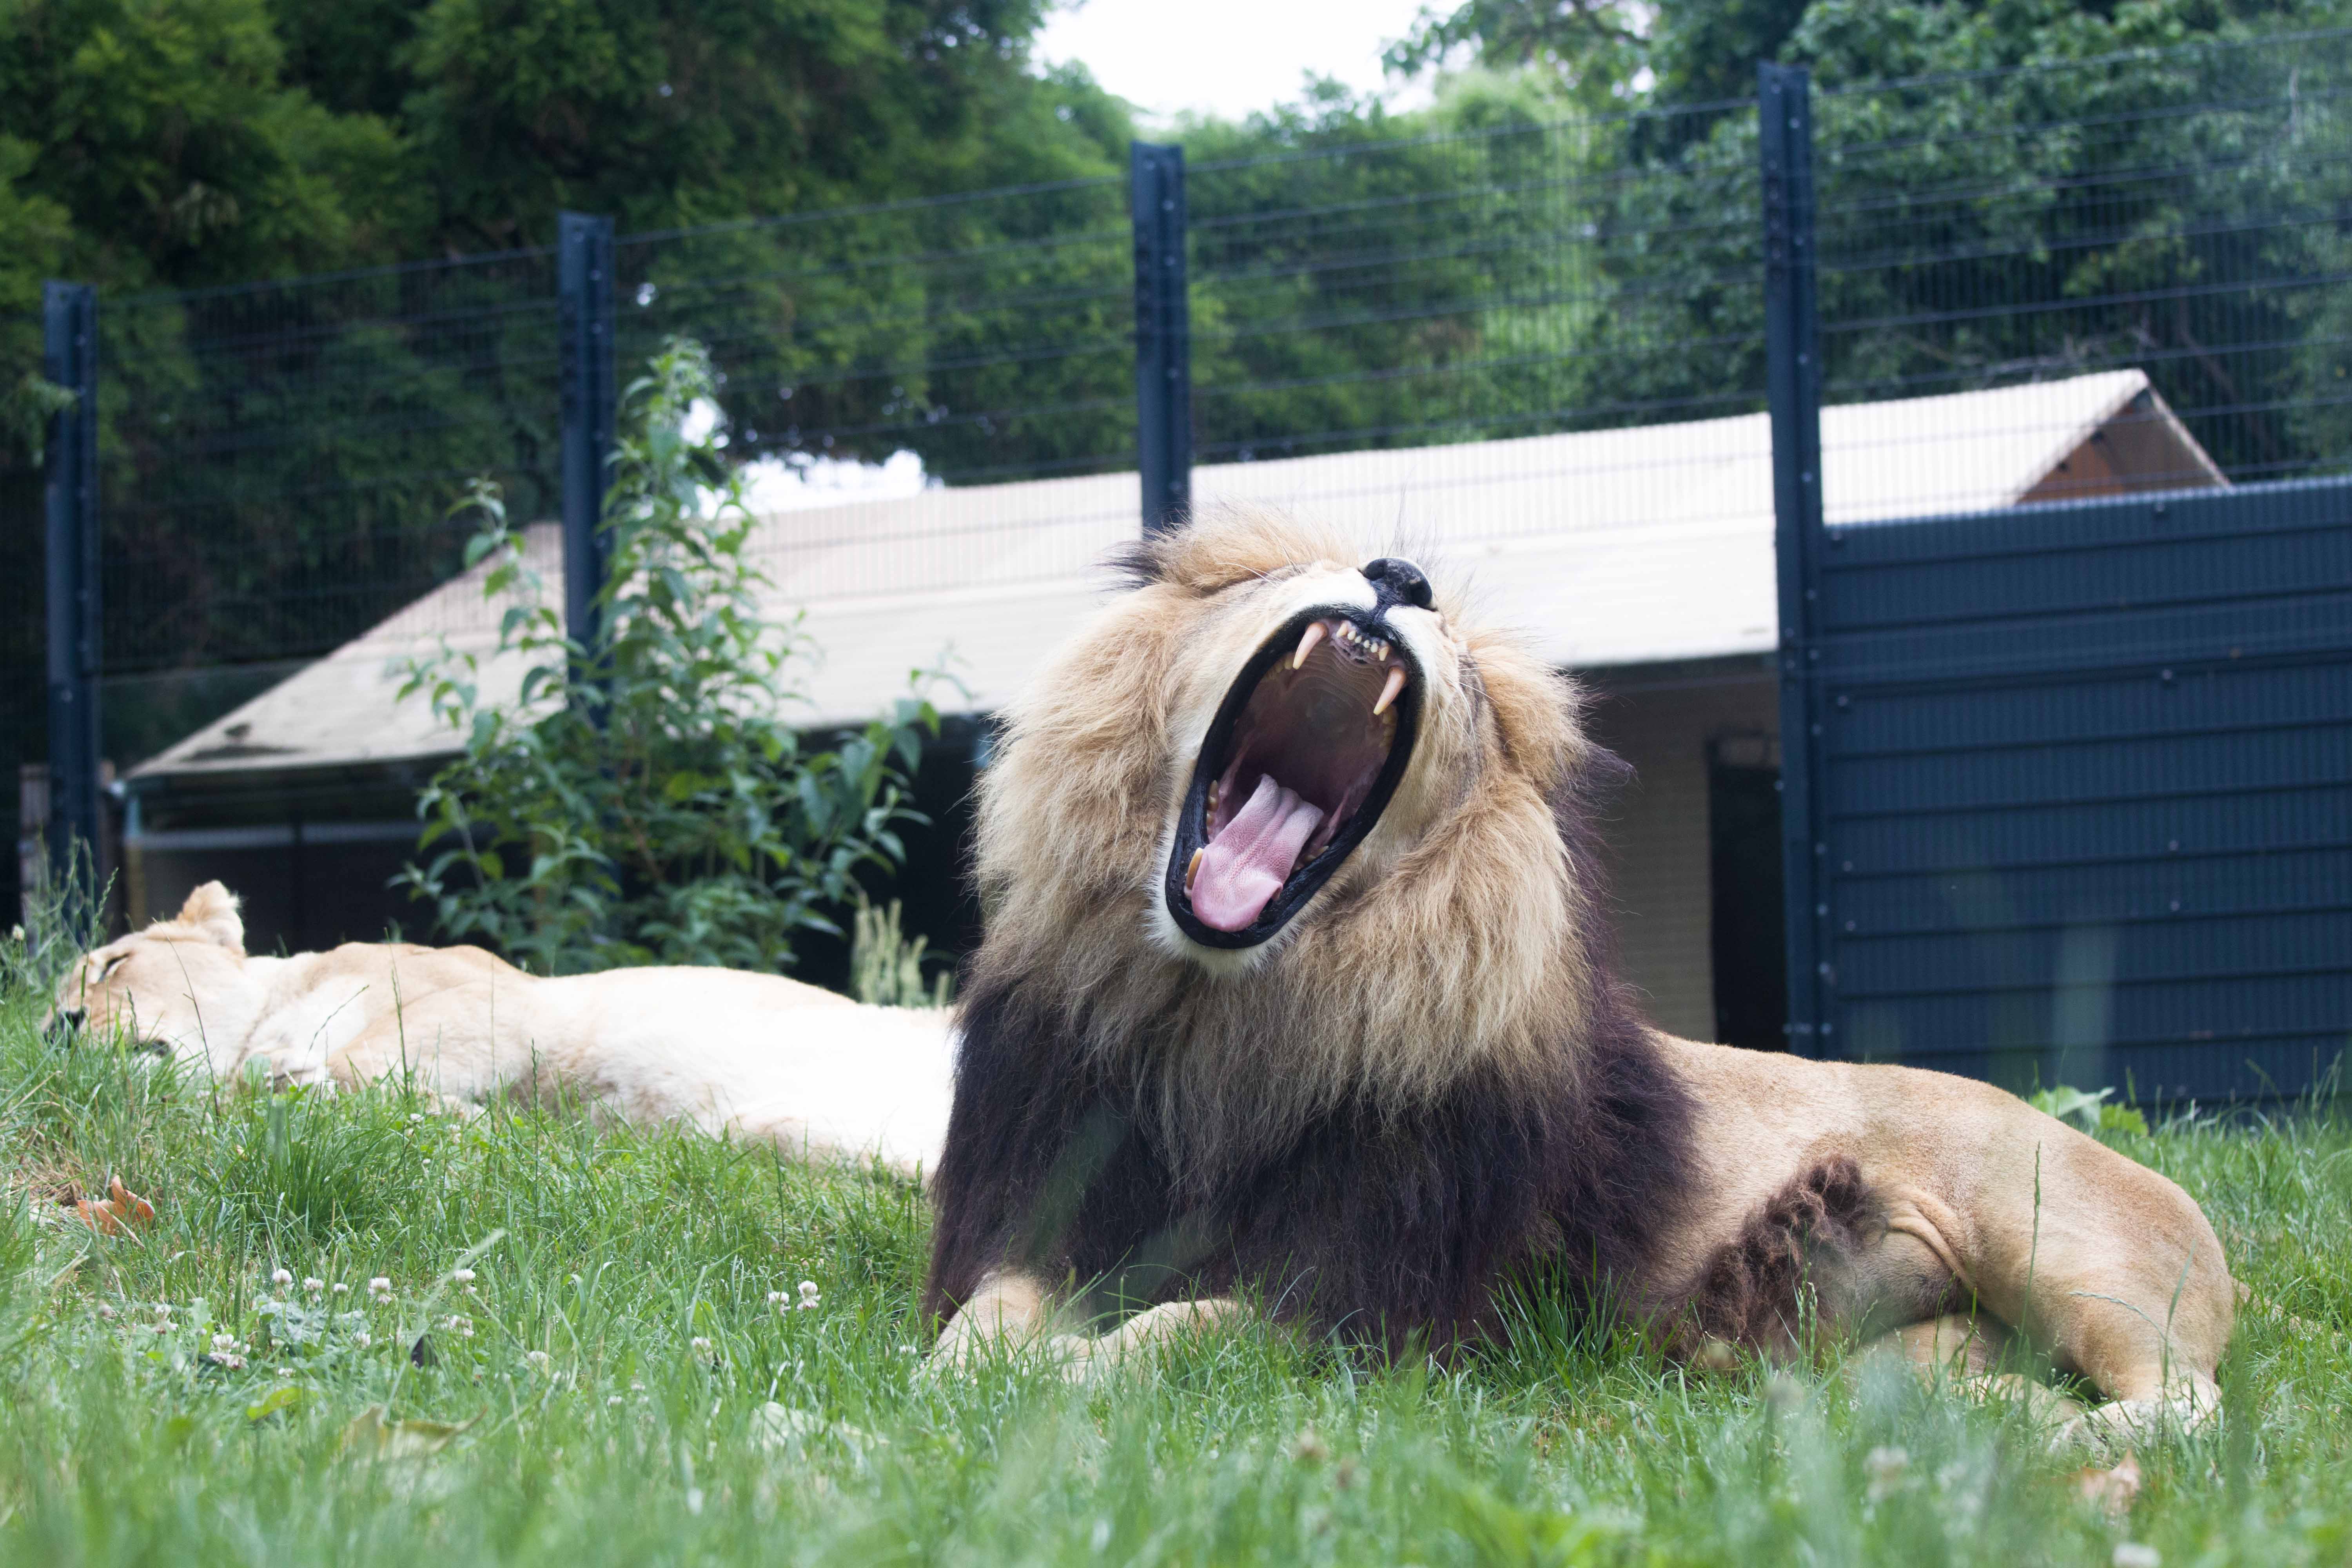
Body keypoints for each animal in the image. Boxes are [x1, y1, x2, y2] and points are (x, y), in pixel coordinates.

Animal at [43, 882, 954, 1179]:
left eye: (112, 963)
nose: (59, 1029)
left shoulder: (495, 1002)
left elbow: (358, 1062)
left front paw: (462, 1118)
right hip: (779, 1130)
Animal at [923, 509, 2234, 1447]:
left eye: (1458, 655)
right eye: (1275, 576)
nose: (1399, 576)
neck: (1227, 1019)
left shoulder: (1382, 1308)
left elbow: (1187, 1329)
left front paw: (1079, 1376)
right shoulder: (1032, 1205)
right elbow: (988, 1316)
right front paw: (959, 1381)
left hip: (2061, 1237)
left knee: (2193, 1407)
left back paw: (2068, 1441)